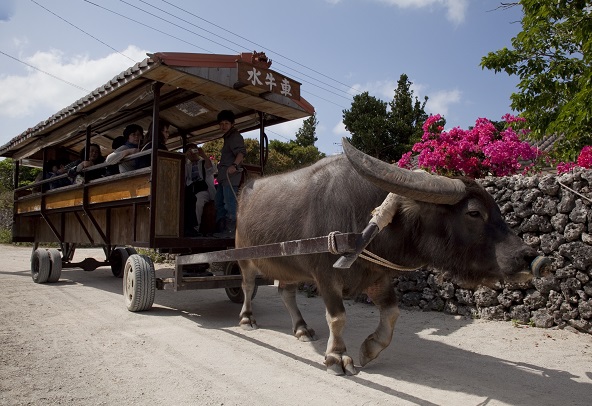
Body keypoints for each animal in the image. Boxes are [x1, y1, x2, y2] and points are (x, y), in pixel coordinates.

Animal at [235, 139, 536, 374]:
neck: (364, 222)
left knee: (286, 291)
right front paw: (336, 357)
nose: (529, 256)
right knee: (247, 285)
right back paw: (247, 318)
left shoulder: (376, 275)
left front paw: (370, 348)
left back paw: (300, 328)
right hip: (243, 257)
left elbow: (392, 313)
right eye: (474, 213)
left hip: (288, 264)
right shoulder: (326, 276)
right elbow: (338, 317)